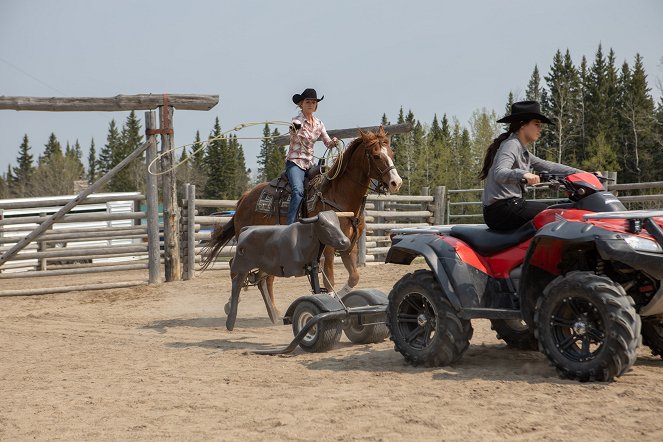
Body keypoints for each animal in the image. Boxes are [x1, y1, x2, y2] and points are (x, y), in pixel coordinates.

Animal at [200, 126, 402, 322]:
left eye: (392, 153)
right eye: (376, 155)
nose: (396, 182)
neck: (339, 197)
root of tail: (245, 197)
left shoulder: (349, 247)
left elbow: (354, 277)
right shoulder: (329, 248)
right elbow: (329, 278)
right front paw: (330, 299)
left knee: (265, 277)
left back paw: (274, 313)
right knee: (236, 268)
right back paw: (232, 306)